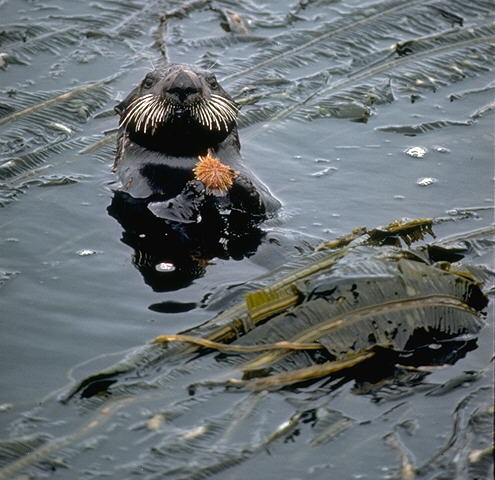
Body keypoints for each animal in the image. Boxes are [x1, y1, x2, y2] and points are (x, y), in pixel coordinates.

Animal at [114, 62, 280, 222]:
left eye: (213, 82)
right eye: (148, 81)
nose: (182, 82)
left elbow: (269, 205)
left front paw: (240, 183)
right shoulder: (136, 188)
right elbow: (158, 208)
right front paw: (193, 190)